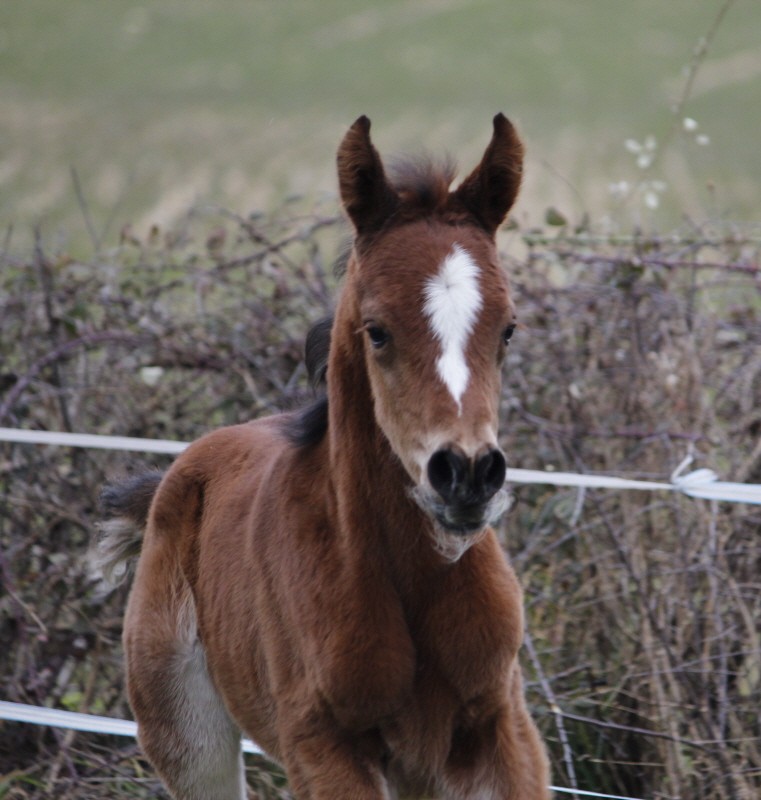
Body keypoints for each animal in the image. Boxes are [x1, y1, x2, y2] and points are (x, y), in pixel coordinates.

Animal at [102, 114, 552, 800]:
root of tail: (178, 475)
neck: (412, 579)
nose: (467, 475)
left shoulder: (499, 732)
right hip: (188, 738)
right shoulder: (322, 745)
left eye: (508, 328)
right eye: (378, 331)